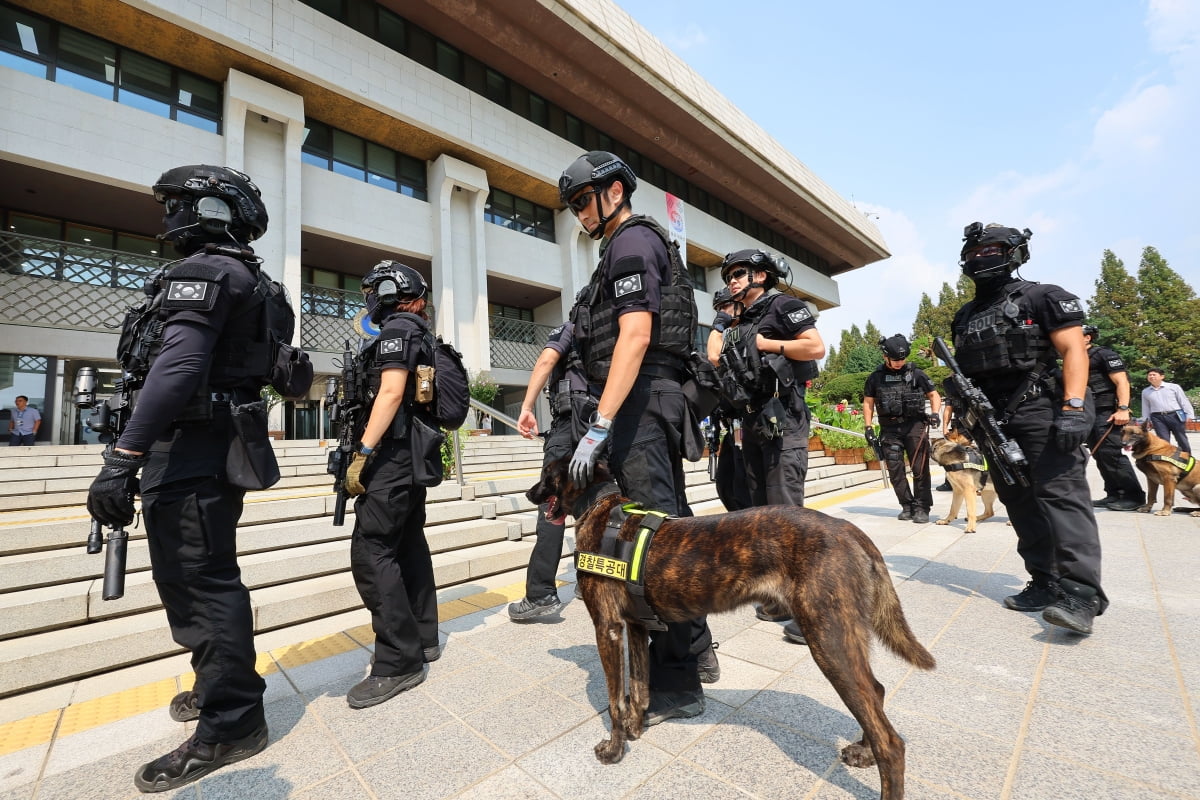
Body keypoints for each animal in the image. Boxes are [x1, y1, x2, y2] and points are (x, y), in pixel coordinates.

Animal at [528, 455, 936, 800]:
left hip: (828, 640)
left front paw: (614, 750)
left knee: (890, 739)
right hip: (844, 636)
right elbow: (639, 690)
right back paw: (864, 752)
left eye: (546, 471)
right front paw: (635, 729)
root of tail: (851, 532)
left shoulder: (608, 628)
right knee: (876, 694)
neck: (602, 507)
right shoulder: (637, 627)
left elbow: (615, 700)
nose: (530, 493)